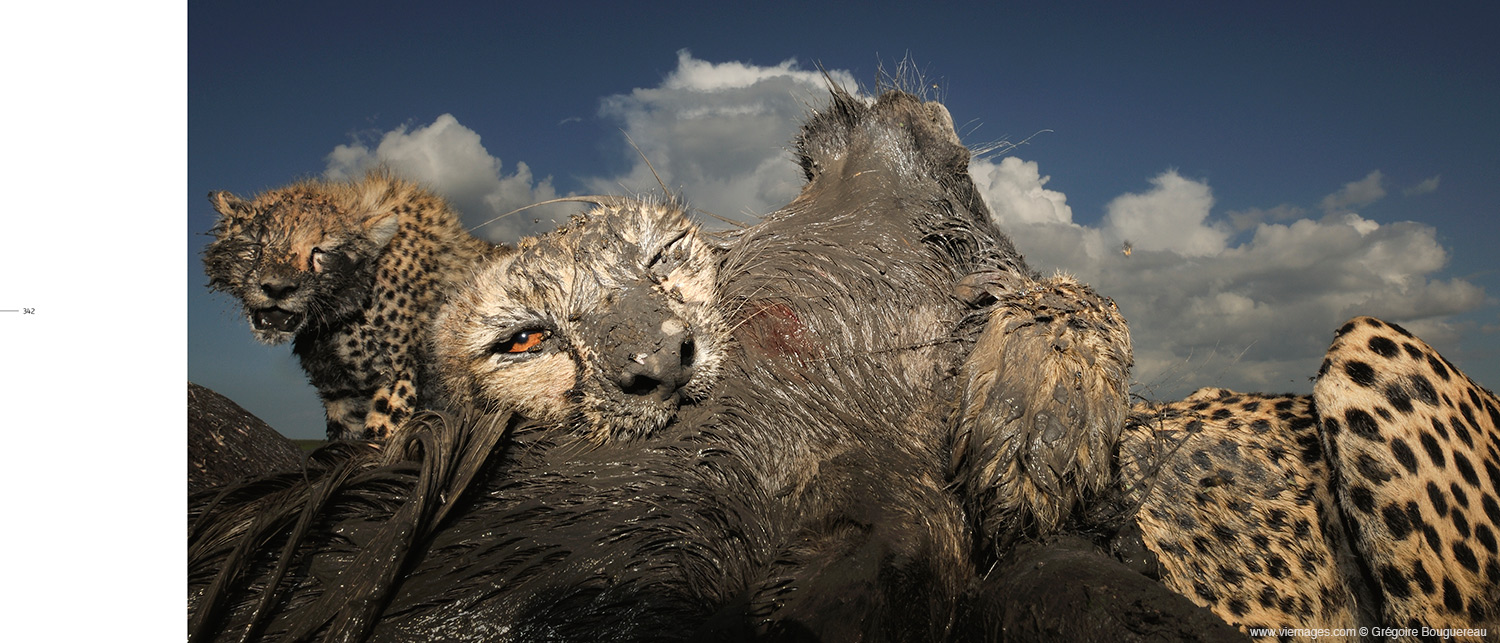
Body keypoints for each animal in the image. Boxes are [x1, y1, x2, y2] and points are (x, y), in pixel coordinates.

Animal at [204, 169, 504, 440]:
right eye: (256, 247)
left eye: (319, 251)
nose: (277, 288)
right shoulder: (340, 393)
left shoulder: (396, 379)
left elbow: (380, 439)